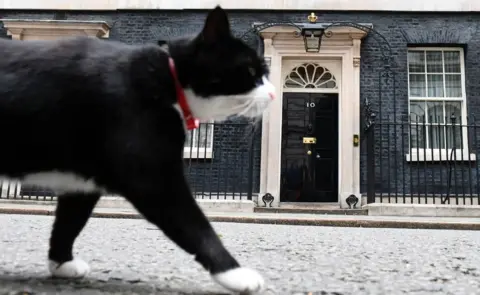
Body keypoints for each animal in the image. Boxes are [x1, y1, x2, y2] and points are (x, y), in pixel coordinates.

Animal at [0, 5, 276, 295]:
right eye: (250, 70)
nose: (273, 94)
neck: (169, 80)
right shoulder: (152, 175)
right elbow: (195, 226)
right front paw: (235, 273)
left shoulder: (82, 181)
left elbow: (70, 221)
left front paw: (61, 262)